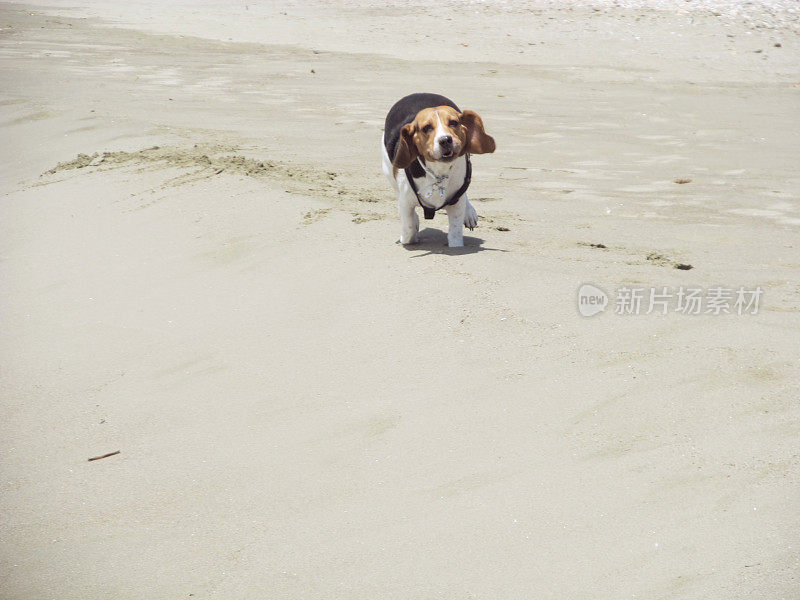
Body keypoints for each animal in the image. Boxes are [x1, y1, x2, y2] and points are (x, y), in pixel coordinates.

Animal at [382, 92, 494, 246]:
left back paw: (469, 213)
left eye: (454, 123)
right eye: (426, 128)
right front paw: (409, 234)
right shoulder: (405, 203)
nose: (445, 140)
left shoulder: (456, 204)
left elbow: (455, 235)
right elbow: (409, 230)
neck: (439, 172)